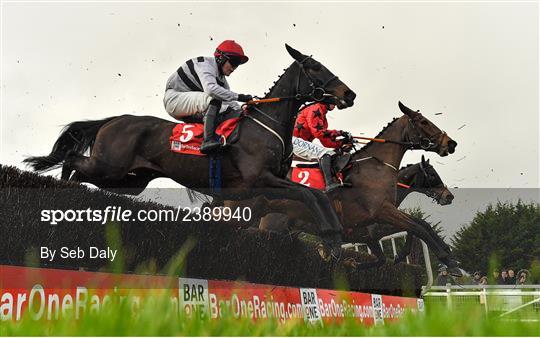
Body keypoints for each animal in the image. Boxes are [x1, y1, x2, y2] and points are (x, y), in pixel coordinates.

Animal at [23, 45, 354, 246]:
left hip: (128, 180)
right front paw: (331, 235)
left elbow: (316, 196)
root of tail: (115, 119)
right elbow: (309, 194)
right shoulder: (260, 181)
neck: (267, 124)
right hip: (109, 166)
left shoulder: (267, 187)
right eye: (315, 66)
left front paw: (336, 237)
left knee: (82, 172)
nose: (349, 94)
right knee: (72, 160)